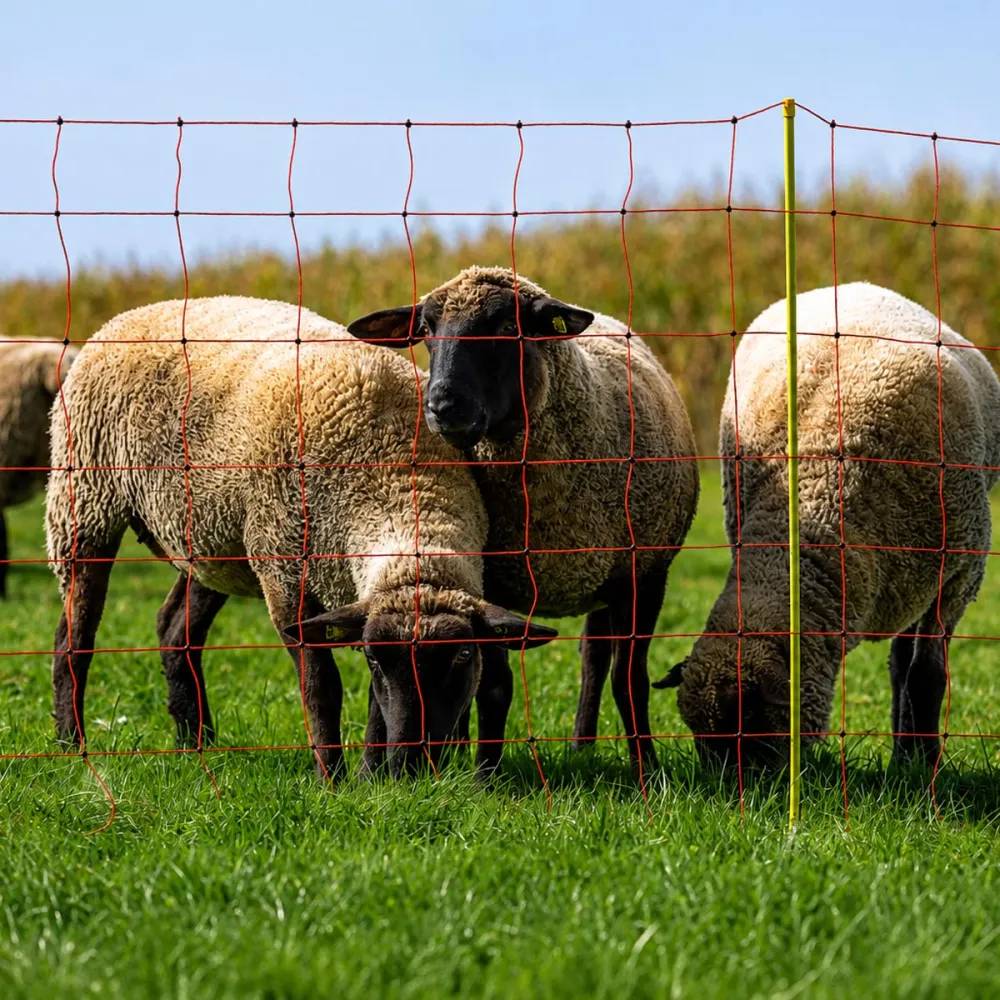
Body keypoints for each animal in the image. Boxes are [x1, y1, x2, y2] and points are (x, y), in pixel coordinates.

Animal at [45, 296, 555, 779]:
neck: (396, 482)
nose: (413, 761)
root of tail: (135, 312)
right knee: (74, 637)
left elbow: (375, 705)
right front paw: (333, 778)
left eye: (465, 655)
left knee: (175, 629)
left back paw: (196, 742)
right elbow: (321, 686)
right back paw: (72, 744)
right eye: (376, 661)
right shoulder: (287, 577)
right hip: (84, 503)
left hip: (216, 538)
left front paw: (375, 778)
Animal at [347, 266, 699, 772]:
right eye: (427, 329)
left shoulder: (646, 574)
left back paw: (582, 746)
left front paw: (647, 769)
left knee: (596, 658)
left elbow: (629, 680)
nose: (442, 406)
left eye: (506, 326)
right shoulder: (494, 582)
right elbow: (492, 682)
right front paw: (484, 774)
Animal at [654, 282, 1000, 768]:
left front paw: (926, 766)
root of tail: (847, 286)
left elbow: (928, 675)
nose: (726, 788)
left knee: (909, 663)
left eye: (751, 725)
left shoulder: (959, 575)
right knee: (898, 662)